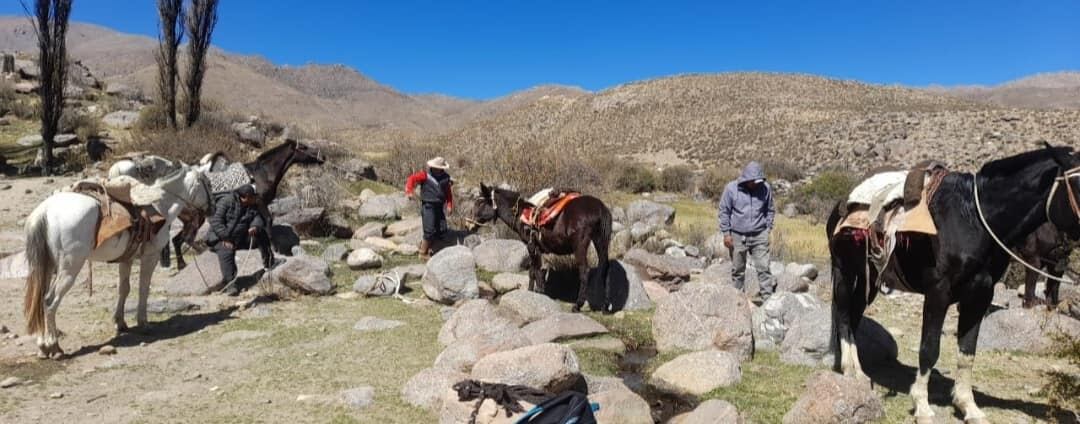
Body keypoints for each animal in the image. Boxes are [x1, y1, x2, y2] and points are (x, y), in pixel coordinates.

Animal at [24, 165, 212, 356]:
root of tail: (44, 211)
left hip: (48, 267)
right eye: (208, 184)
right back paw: (54, 346)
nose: (211, 209)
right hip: (69, 269)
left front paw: (120, 323)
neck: (160, 206)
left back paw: (43, 345)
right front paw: (143, 323)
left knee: (40, 300)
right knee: (49, 301)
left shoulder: (126, 259)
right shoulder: (150, 257)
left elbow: (124, 289)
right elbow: (143, 288)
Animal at [164, 140, 324, 269]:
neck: (262, 174)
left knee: (176, 240)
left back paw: (182, 265)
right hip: (196, 218)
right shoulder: (260, 202)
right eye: (303, 147)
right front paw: (274, 248)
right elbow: (268, 221)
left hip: (189, 220)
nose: (322, 157)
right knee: (187, 239)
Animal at [468, 184, 613, 310]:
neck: (522, 214)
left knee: (584, 270)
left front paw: (538, 293)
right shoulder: (537, 250)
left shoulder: (532, 247)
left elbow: (535, 272)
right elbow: (535, 271)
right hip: (601, 241)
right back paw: (605, 305)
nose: (468, 224)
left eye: (480, 203)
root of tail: (600, 208)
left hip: (580, 245)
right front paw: (533, 292)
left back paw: (577, 305)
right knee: (605, 267)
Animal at [825, 146, 1080, 422]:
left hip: (869, 282)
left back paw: (856, 369)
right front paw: (922, 406)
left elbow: (967, 352)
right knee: (843, 316)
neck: (974, 220)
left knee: (854, 316)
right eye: (1079, 185)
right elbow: (929, 349)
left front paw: (968, 406)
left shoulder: (979, 295)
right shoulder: (938, 292)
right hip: (844, 273)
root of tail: (840, 205)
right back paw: (851, 371)